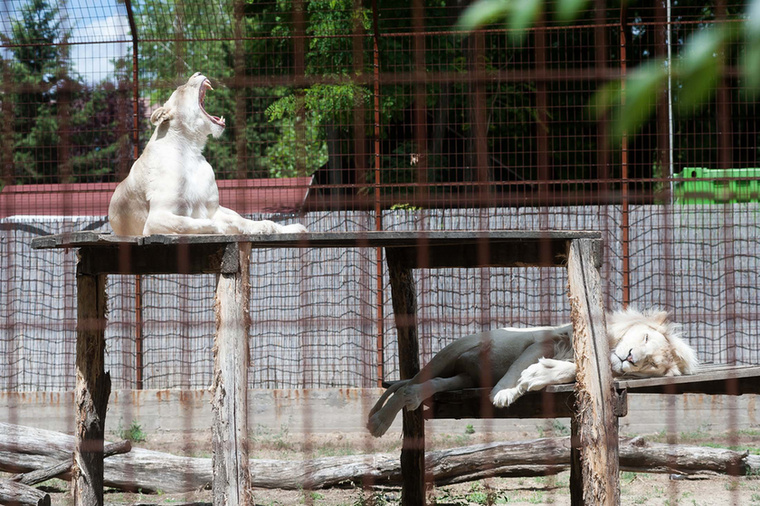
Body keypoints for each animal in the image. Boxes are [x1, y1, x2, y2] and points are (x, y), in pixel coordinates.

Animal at [368, 306, 700, 436]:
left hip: (461, 377)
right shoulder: (544, 340)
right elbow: (517, 367)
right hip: (452, 351)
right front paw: (502, 393)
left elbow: (566, 371)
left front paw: (537, 377)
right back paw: (379, 422)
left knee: (424, 385)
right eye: (644, 338)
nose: (630, 358)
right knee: (407, 385)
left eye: (650, 364)